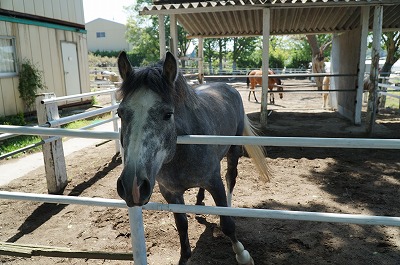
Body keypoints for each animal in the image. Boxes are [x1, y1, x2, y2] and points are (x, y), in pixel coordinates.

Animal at [117, 51, 270, 264]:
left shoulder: (214, 182)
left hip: (233, 150)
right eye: (120, 113)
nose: (133, 187)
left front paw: (243, 255)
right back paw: (198, 203)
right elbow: (182, 225)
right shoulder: (170, 192)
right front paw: (184, 257)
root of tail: (228, 87)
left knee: (231, 178)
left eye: (168, 114)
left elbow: (227, 224)